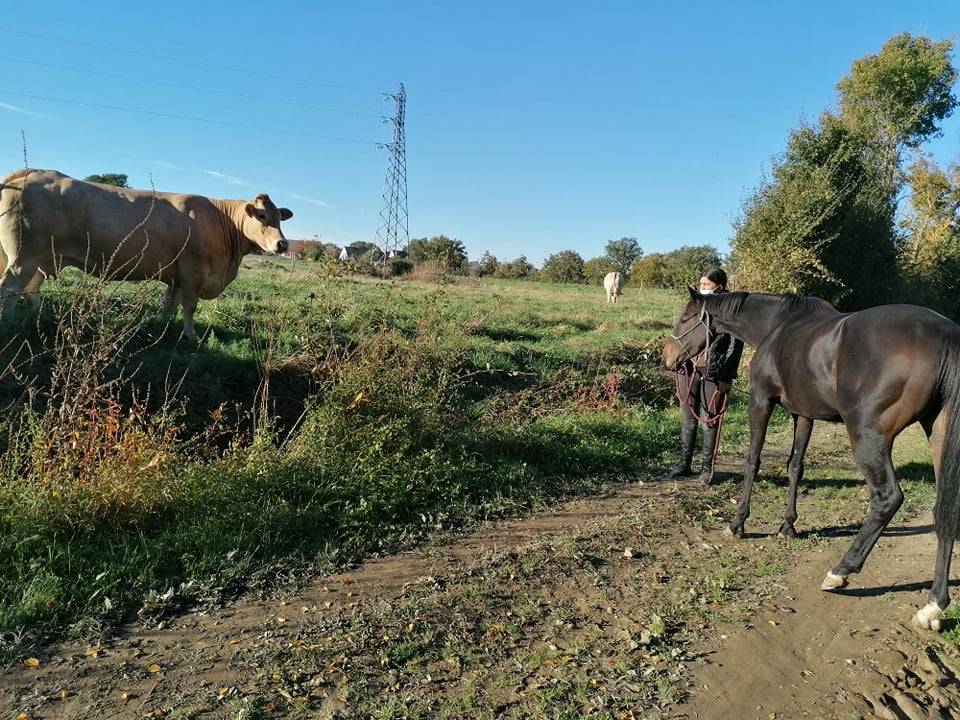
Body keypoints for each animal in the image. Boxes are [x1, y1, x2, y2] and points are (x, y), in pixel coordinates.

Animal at [662, 288, 960, 631]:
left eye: (685, 318)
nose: (666, 356)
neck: (776, 325)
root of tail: (945, 334)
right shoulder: (803, 413)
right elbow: (795, 466)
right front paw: (788, 525)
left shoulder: (760, 401)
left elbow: (754, 461)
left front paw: (738, 523)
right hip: (938, 432)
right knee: (945, 511)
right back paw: (933, 606)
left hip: (868, 437)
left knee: (887, 499)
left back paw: (840, 572)